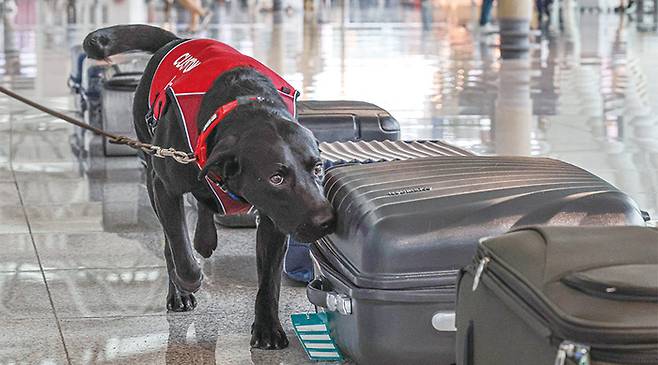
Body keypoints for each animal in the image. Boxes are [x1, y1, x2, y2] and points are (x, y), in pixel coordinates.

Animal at [82, 24, 336, 348]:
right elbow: (179, 248)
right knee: (172, 237)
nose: (326, 220)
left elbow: (269, 279)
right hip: (150, 168)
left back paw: (205, 237)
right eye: (276, 178)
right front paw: (188, 281)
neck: (242, 105)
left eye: (317, 167)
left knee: (205, 199)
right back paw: (180, 288)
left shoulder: (274, 216)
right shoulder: (165, 188)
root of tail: (178, 40)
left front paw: (267, 326)